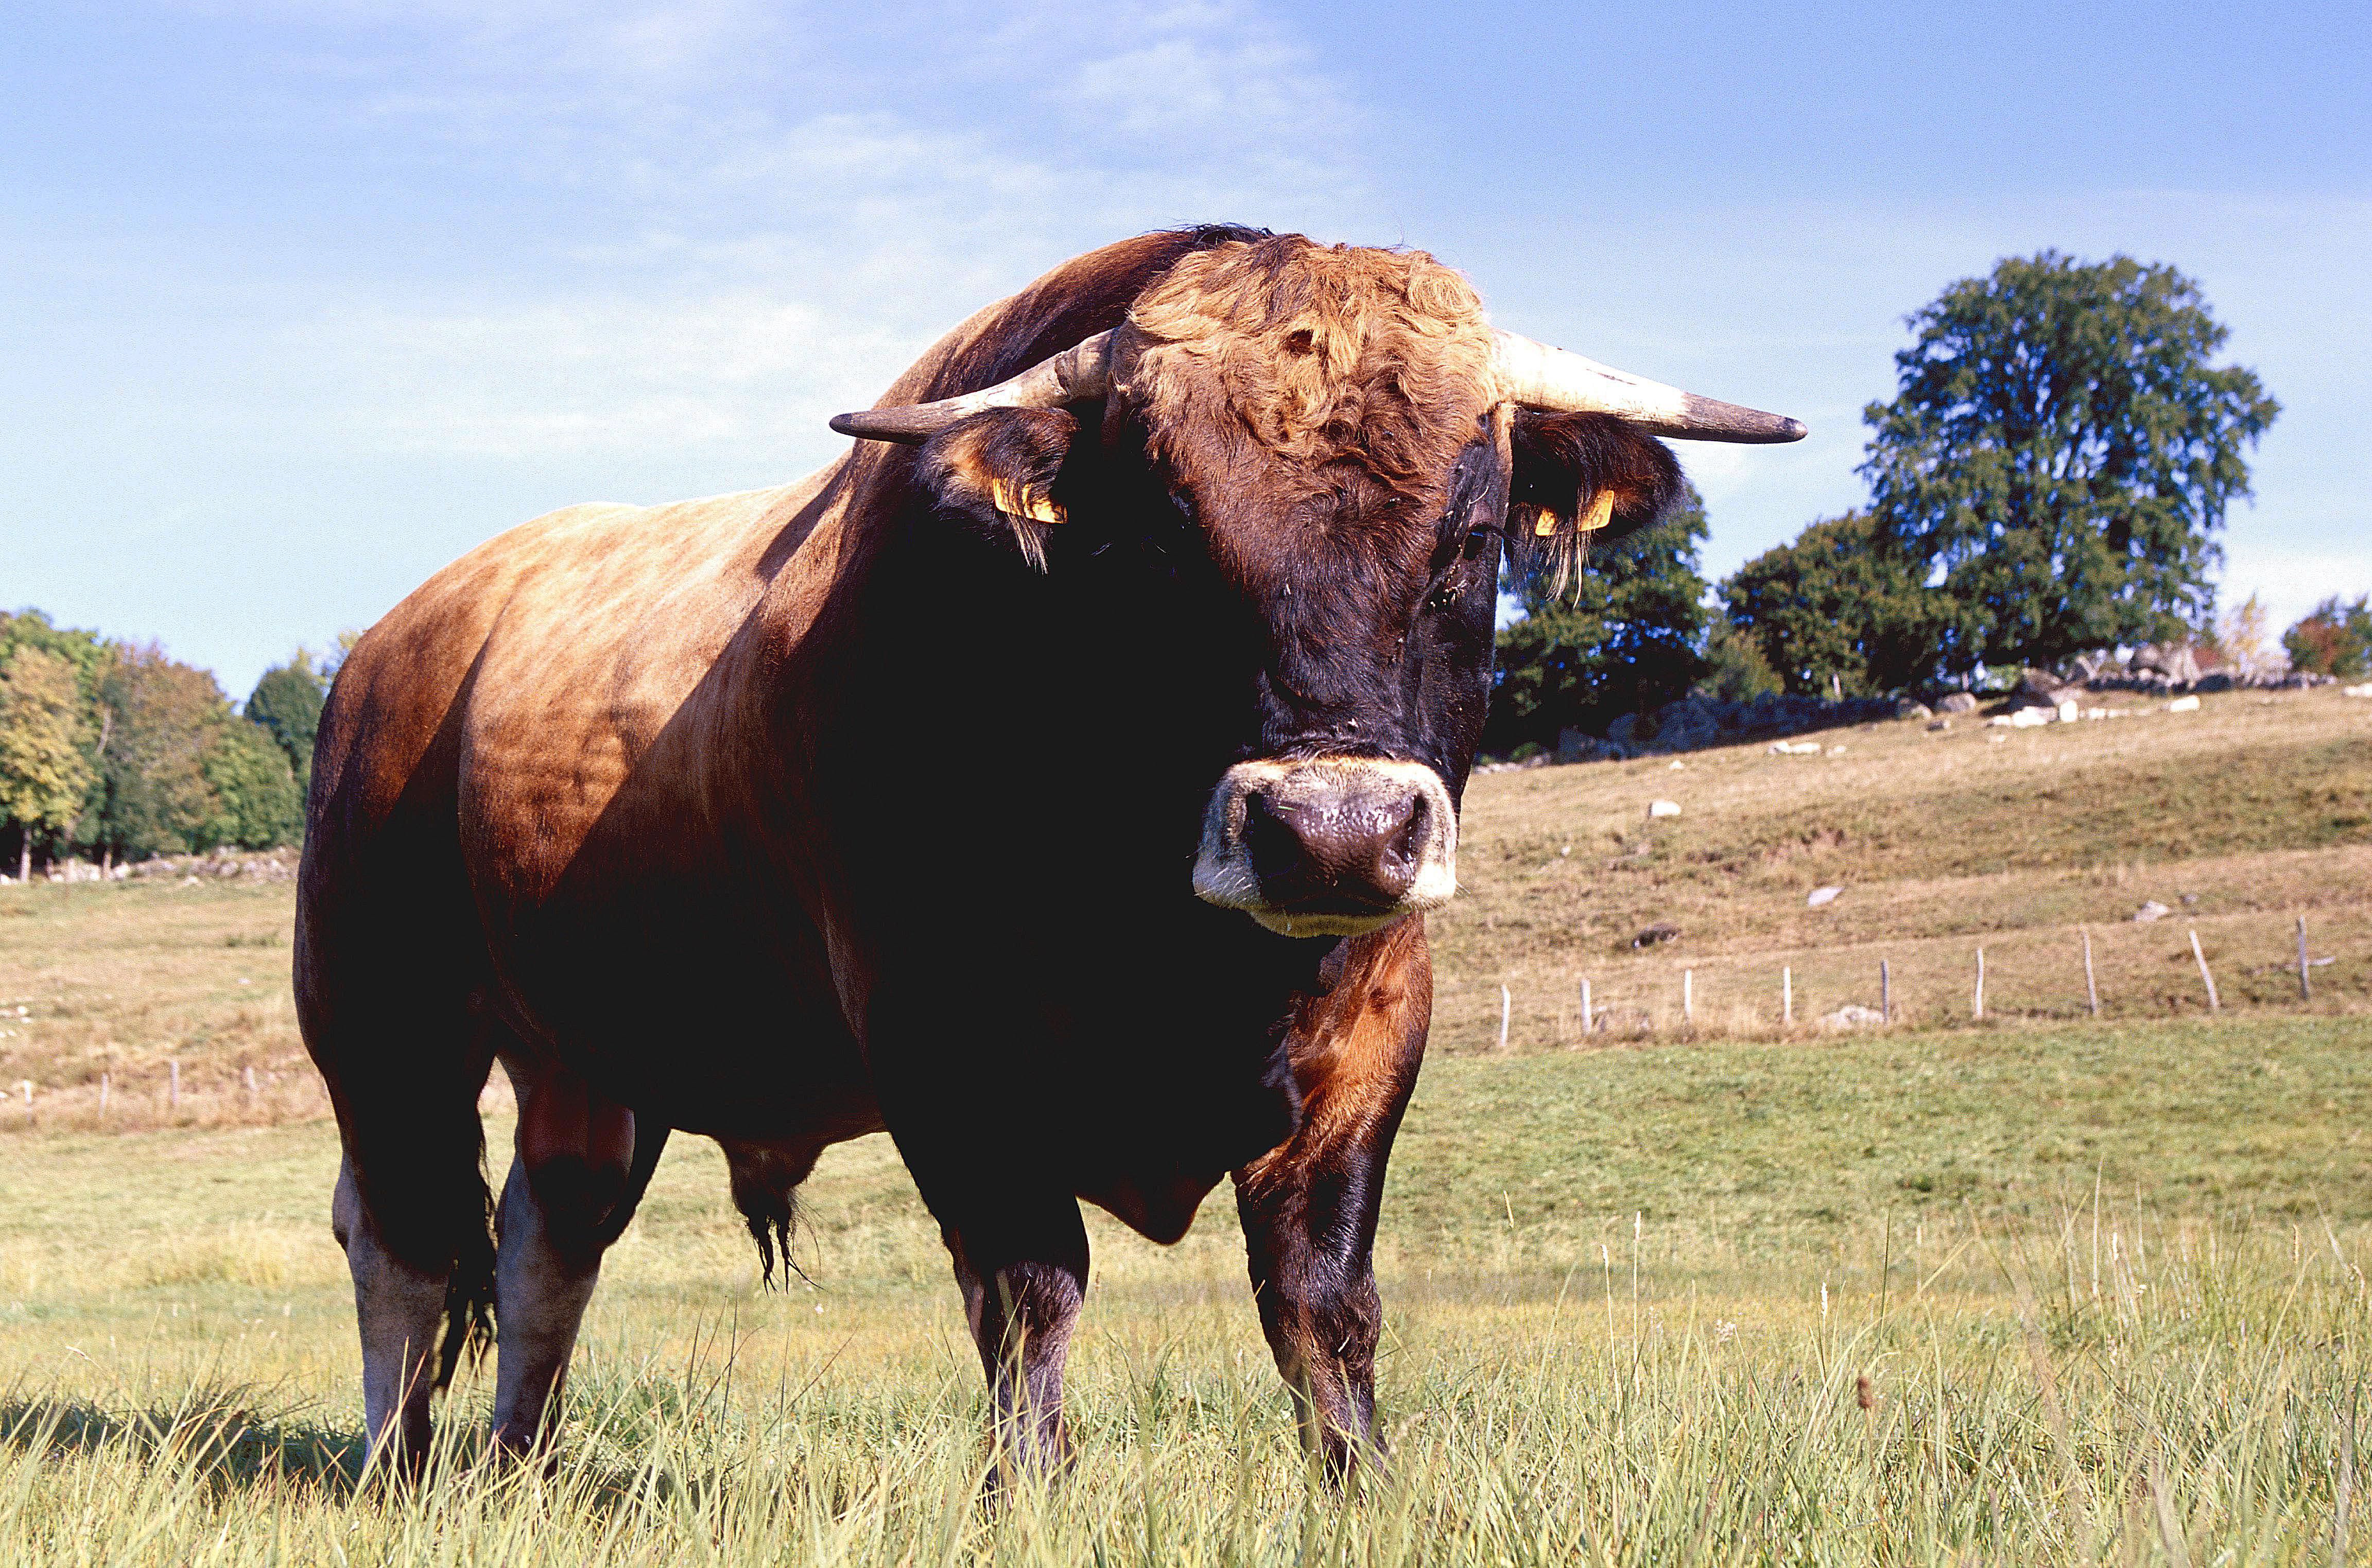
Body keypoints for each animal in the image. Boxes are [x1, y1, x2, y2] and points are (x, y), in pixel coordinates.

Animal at [306, 227, 1803, 1471]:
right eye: (1160, 537)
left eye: (1473, 535)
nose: (1331, 833)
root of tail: (401, 633)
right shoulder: (940, 1046)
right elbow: (1032, 1291)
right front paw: (1027, 1491)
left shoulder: (1375, 1023)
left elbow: (1322, 1304)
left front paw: (1365, 1490)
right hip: (381, 1020)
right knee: (399, 1245)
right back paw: (398, 1465)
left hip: (584, 1055)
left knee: (541, 1246)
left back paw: (517, 1461)